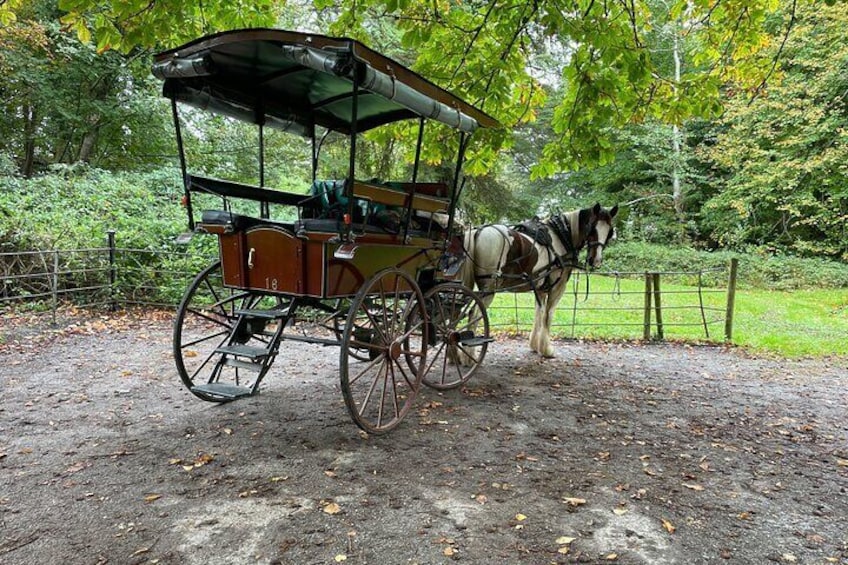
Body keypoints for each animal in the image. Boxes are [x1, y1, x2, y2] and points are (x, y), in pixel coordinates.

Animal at [460, 200, 620, 354]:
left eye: (609, 232)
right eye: (591, 228)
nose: (596, 260)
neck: (561, 236)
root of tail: (478, 231)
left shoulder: (541, 288)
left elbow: (539, 312)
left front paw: (535, 346)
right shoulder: (558, 286)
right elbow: (548, 314)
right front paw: (547, 350)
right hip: (489, 288)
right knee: (474, 315)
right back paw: (469, 356)